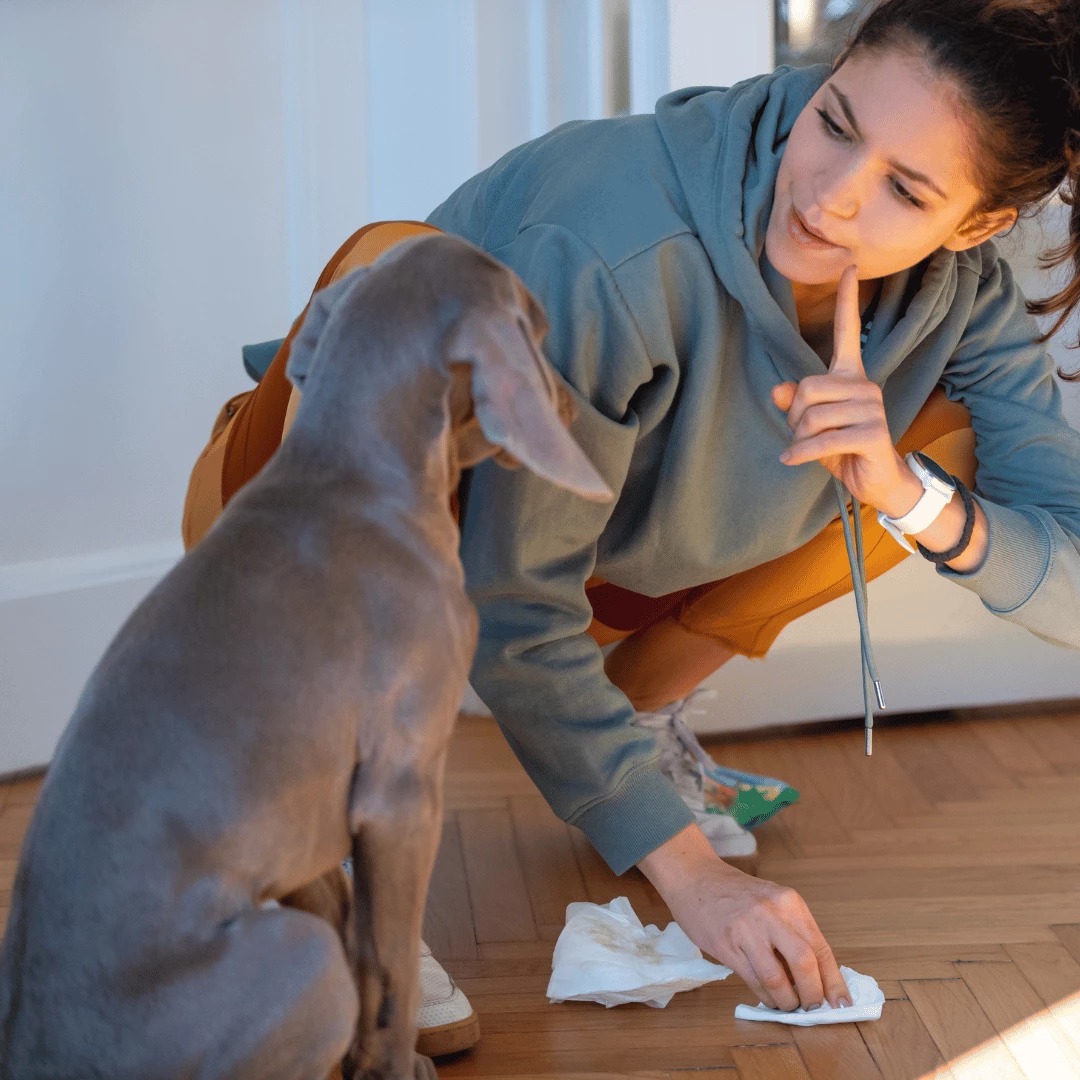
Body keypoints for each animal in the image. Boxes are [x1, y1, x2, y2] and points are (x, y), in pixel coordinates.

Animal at [0, 236, 613, 1080]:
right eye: (540, 329)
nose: (571, 410)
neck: (349, 472)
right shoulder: (399, 791)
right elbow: (390, 957)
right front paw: (396, 1062)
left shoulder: (309, 810)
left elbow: (358, 930)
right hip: (299, 959)